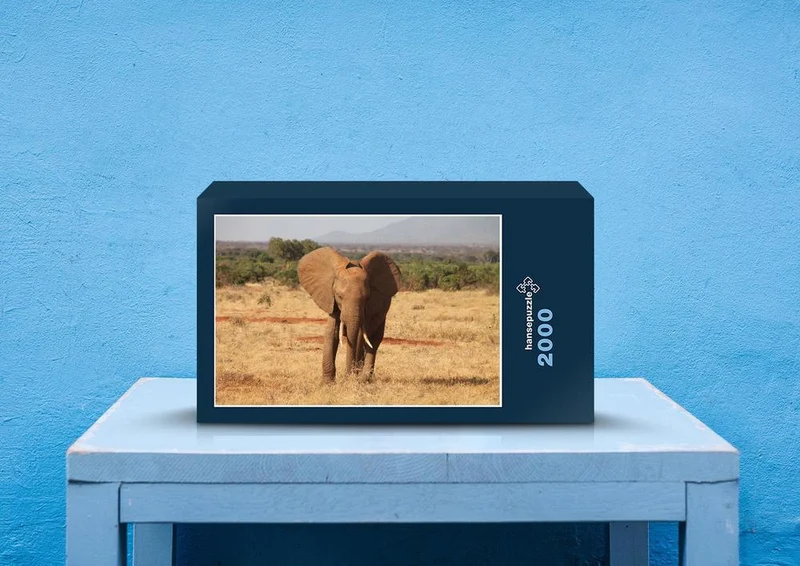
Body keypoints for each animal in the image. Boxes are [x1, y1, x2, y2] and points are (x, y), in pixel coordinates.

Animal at [298, 246, 401, 382]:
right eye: (339, 296)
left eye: (367, 298)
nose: (348, 375)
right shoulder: (331, 301)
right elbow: (332, 332)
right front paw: (328, 382)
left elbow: (358, 337)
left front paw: (352, 377)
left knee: (373, 341)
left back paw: (364, 378)